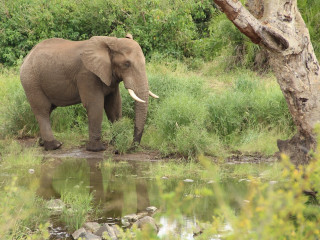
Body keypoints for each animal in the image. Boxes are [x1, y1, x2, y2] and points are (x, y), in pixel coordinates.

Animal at [19, 34, 158, 151]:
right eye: (127, 64)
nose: (131, 148)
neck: (111, 41)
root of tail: (27, 57)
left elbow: (114, 105)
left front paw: (115, 142)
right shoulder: (87, 74)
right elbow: (95, 105)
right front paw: (97, 149)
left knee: (48, 110)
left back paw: (42, 143)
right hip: (31, 81)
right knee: (42, 110)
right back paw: (55, 146)